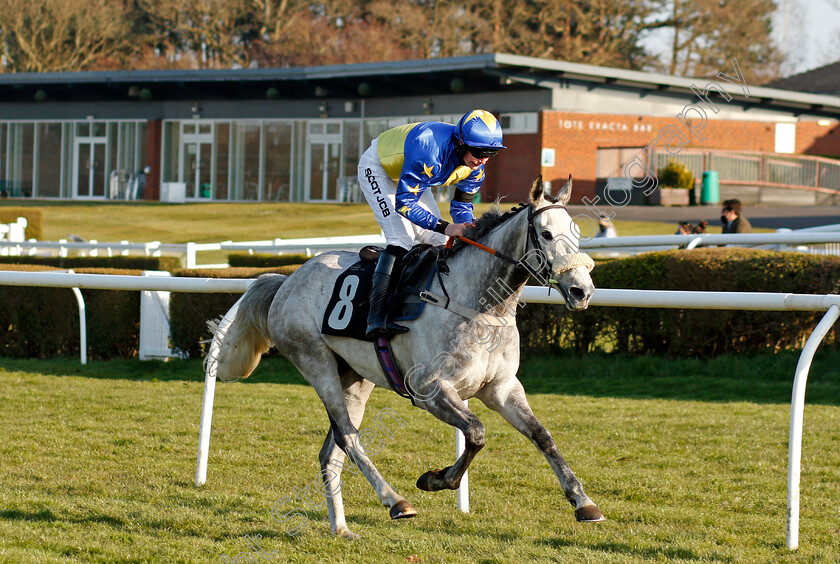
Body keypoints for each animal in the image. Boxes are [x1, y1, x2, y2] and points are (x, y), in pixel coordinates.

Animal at [208, 176, 604, 536]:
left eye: (577, 232)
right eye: (547, 234)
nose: (581, 291)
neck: (482, 304)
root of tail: (286, 281)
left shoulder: (502, 388)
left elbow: (543, 436)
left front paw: (583, 502)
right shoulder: (429, 389)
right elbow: (476, 433)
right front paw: (435, 479)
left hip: (355, 378)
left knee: (331, 452)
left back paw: (342, 529)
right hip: (316, 363)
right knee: (349, 437)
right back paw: (395, 501)